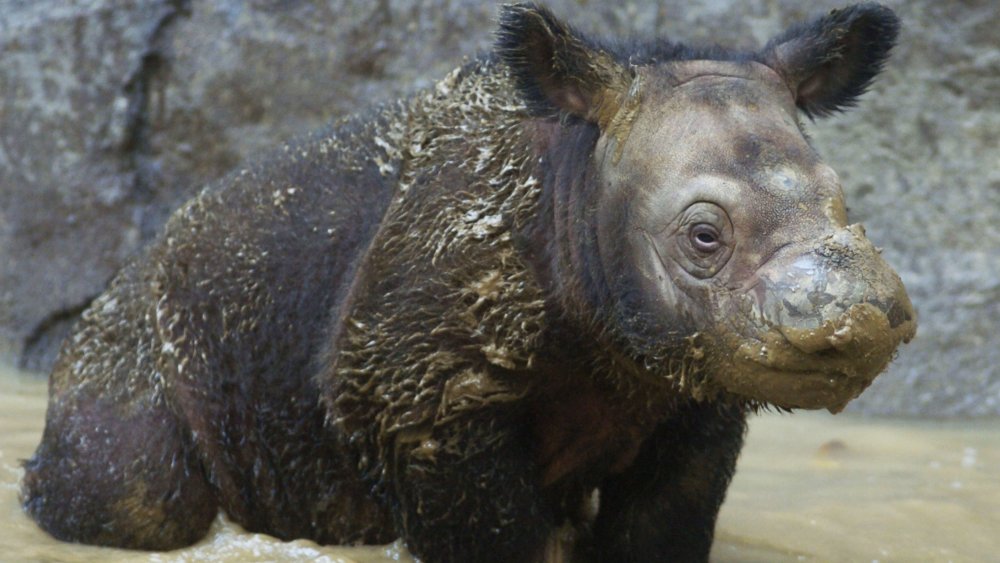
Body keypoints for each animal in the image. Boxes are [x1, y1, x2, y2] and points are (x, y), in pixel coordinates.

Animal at [21, 4, 916, 563]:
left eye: (845, 203)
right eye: (703, 236)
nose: (867, 318)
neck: (577, 180)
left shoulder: (692, 385)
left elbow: (658, 528)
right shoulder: (421, 398)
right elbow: (500, 536)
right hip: (132, 343)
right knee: (140, 493)